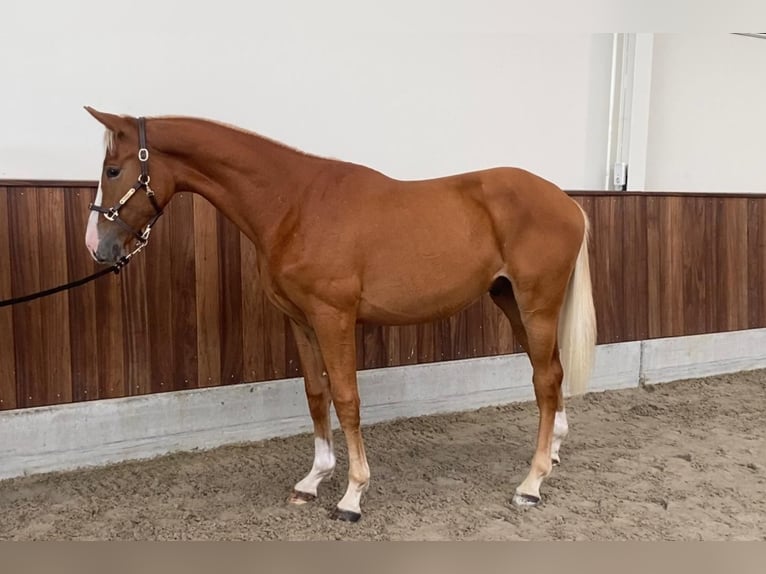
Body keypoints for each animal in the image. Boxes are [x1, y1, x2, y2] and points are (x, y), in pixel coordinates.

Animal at [85, 107, 600, 520]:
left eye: (113, 169)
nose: (97, 246)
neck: (295, 204)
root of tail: (566, 202)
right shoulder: (301, 320)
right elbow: (317, 395)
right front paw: (313, 479)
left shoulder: (334, 318)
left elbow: (347, 399)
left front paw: (353, 494)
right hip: (511, 302)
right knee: (551, 372)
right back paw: (553, 453)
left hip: (537, 305)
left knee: (545, 380)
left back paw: (531, 484)